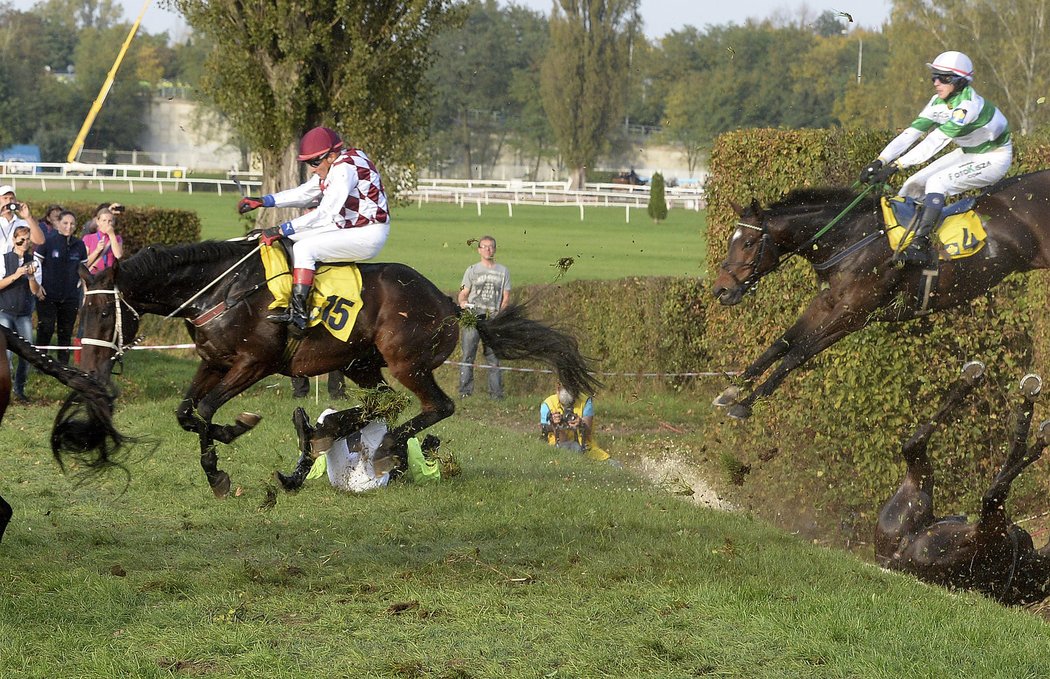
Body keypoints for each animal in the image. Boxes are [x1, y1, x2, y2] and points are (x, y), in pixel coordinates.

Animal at [77, 241, 604, 497]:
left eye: (102, 311)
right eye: (82, 309)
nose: (89, 366)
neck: (220, 289)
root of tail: (453, 306)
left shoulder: (252, 363)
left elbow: (205, 412)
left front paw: (221, 463)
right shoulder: (214, 361)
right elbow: (187, 413)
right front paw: (226, 447)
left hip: (406, 362)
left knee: (434, 406)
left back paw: (374, 445)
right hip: (361, 364)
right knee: (382, 405)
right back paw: (320, 440)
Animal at [709, 170, 1050, 419]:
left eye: (748, 243)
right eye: (730, 240)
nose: (721, 289)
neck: (849, 238)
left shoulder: (853, 313)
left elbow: (799, 352)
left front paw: (746, 404)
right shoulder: (828, 304)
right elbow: (781, 344)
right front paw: (732, 390)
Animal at [873, 361, 1050, 604]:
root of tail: (891, 559)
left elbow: (999, 485)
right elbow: (1012, 461)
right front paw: (1026, 419)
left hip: (912, 499)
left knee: (913, 447)